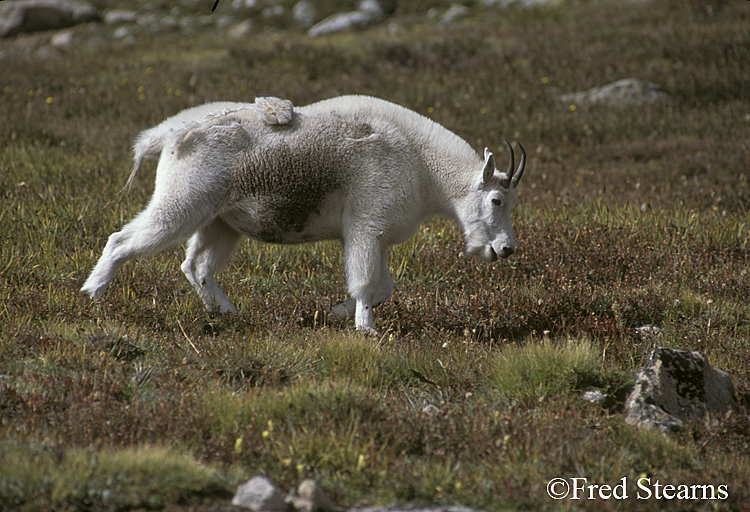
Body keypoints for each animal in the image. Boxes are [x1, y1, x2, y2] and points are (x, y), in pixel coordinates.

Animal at [81, 95, 528, 332]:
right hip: (181, 204)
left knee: (196, 266)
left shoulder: (375, 236)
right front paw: (365, 329)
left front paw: (334, 312)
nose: (506, 249)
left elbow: (384, 288)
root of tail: (170, 136)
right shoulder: (366, 227)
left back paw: (228, 313)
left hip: (220, 222)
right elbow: (367, 284)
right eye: (496, 200)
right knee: (122, 240)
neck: (424, 167)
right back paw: (94, 294)